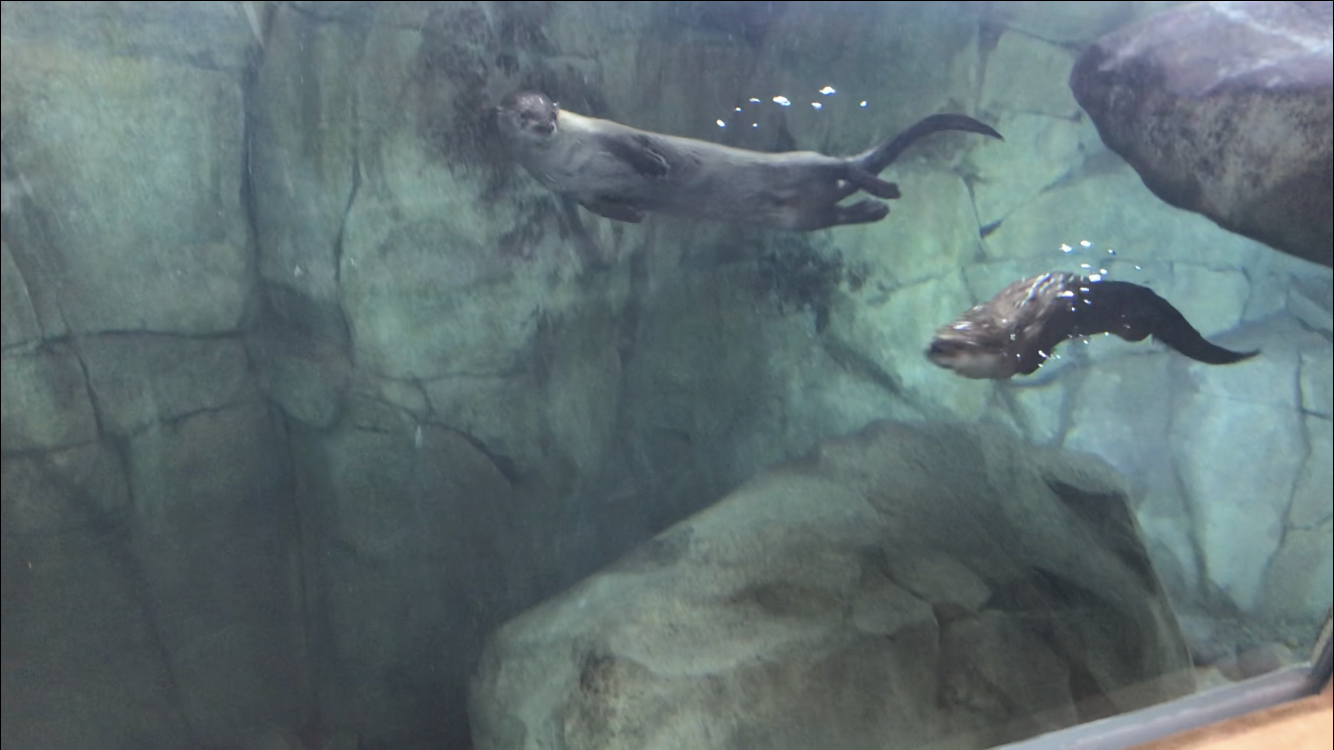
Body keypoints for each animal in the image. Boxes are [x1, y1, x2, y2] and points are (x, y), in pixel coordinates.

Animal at [496, 91, 1002, 231]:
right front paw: (633, 213)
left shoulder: (606, 132)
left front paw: (656, 168)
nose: (545, 124)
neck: (572, 158)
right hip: (796, 220)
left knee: (840, 167)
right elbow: (599, 205)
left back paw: (883, 188)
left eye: (551, 109)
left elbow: (637, 146)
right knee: (833, 214)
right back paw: (876, 207)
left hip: (802, 160)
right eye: (524, 115)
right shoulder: (572, 189)